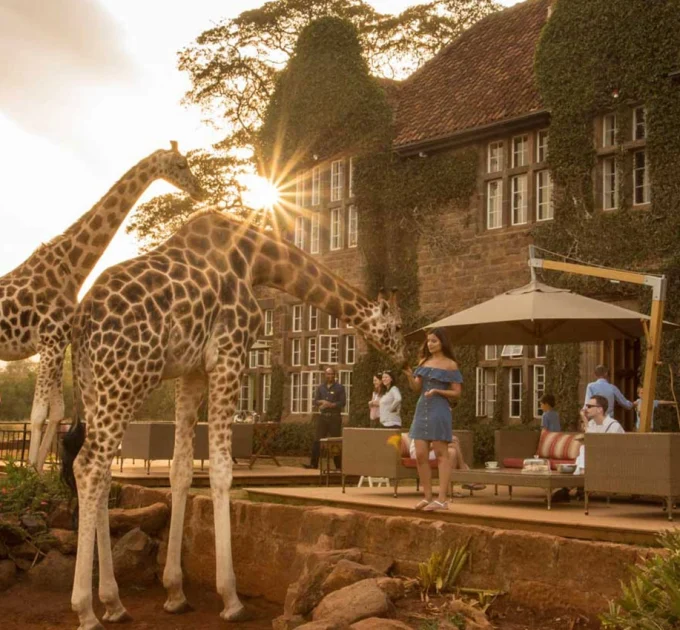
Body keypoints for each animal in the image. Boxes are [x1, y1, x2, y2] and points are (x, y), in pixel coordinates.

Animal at [0, 141, 205, 471]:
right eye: (181, 164)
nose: (199, 191)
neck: (71, 267)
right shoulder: (49, 340)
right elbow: (39, 413)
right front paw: (29, 471)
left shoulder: (56, 343)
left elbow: (55, 412)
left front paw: (39, 472)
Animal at [61, 209, 406, 628]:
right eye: (399, 326)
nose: (406, 360)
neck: (257, 262)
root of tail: (81, 320)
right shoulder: (229, 355)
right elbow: (222, 470)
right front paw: (231, 597)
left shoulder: (192, 371)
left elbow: (181, 470)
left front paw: (175, 592)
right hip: (128, 376)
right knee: (89, 466)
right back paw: (85, 609)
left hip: (94, 384)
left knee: (102, 471)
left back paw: (113, 602)